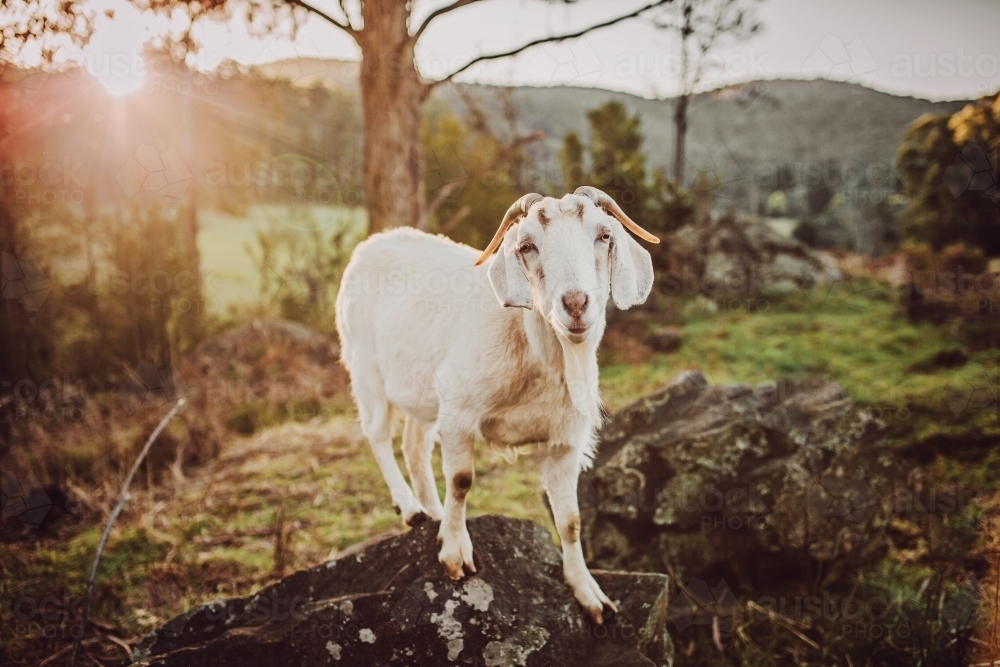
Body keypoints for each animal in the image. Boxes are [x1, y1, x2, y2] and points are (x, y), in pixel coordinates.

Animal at [336, 185, 656, 624]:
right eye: (526, 246)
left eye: (604, 235)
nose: (575, 303)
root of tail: (374, 242)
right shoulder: (459, 413)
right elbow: (461, 481)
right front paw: (455, 555)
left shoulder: (564, 444)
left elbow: (571, 521)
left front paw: (590, 595)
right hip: (365, 367)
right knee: (378, 435)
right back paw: (411, 508)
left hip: (423, 390)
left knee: (414, 444)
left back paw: (432, 512)